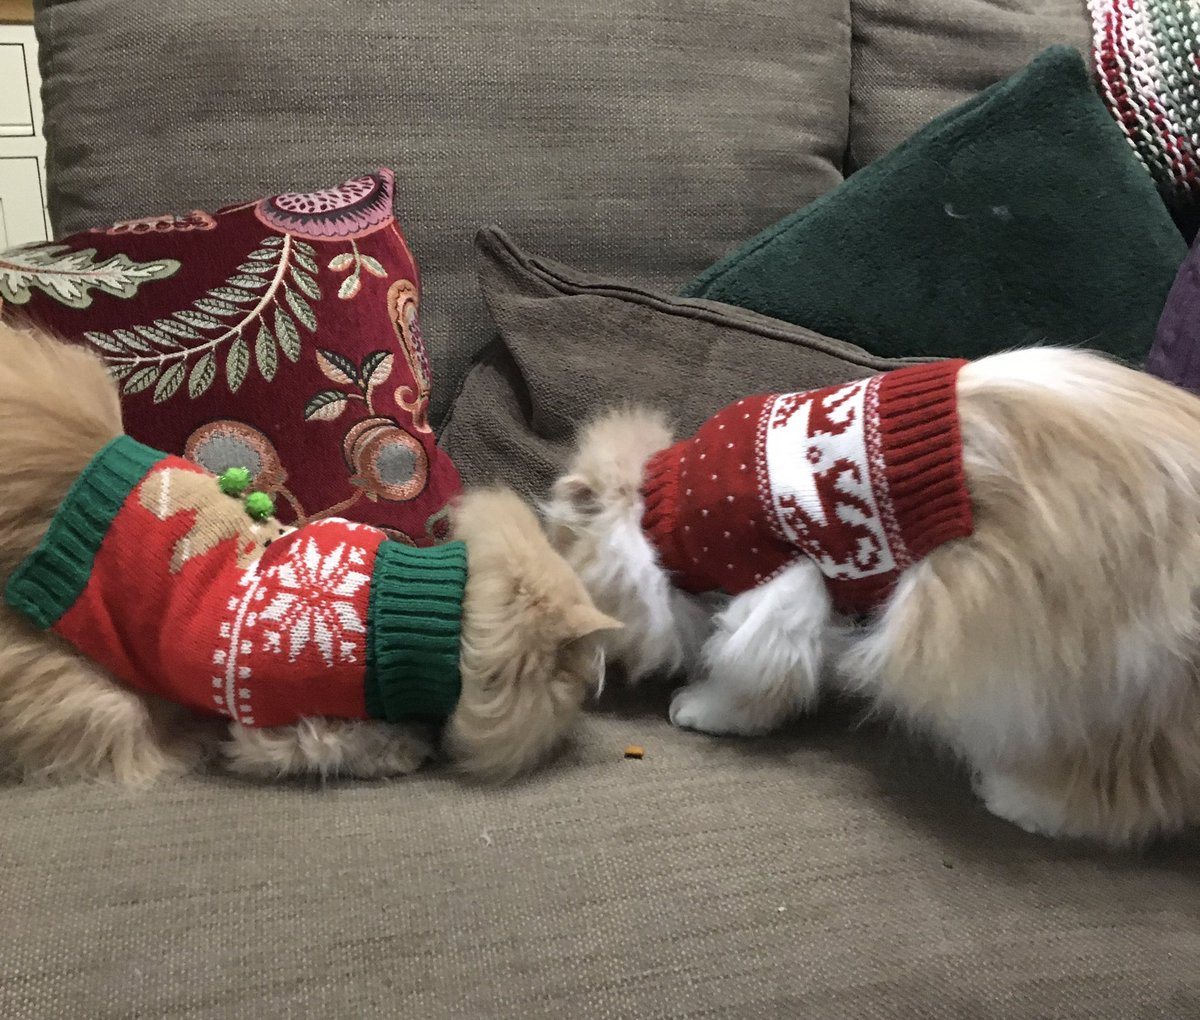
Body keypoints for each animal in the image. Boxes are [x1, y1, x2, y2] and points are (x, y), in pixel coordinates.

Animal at [0, 321, 619, 782]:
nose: (597, 687)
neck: (432, 616)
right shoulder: (281, 722)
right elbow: (345, 744)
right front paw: (404, 749)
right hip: (93, 691)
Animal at [549, 350, 1200, 844]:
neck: (665, 512)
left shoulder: (781, 582)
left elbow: (751, 670)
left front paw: (702, 709)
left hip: (1044, 665)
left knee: (1119, 784)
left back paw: (1017, 801)